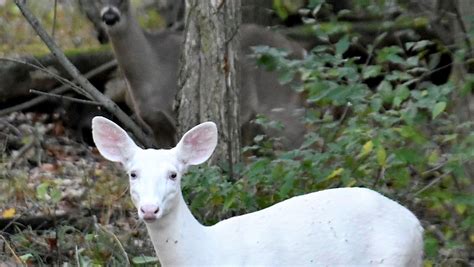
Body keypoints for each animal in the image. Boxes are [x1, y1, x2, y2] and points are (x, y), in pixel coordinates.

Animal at [90, 116, 424, 267]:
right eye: (133, 173)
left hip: (389, 260)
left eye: (174, 174)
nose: (149, 209)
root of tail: (416, 226)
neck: (204, 252)